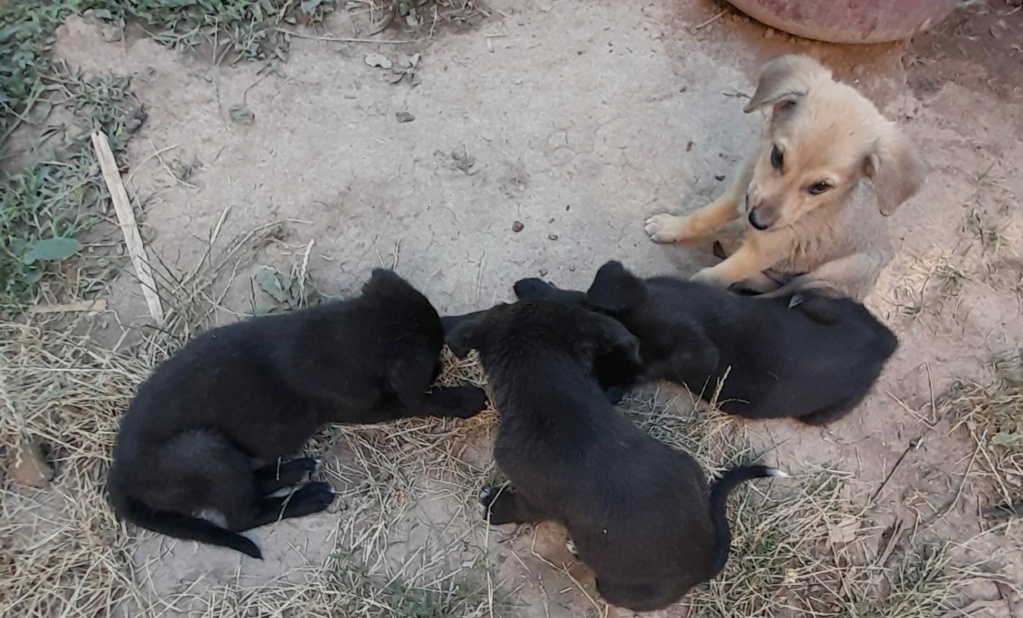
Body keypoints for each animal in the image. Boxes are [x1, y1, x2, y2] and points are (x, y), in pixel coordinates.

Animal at [107, 270, 486, 560]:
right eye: (433, 363)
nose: (440, 368)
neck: (348, 333)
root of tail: (119, 479)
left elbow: (446, 322)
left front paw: (475, 320)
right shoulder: (372, 406)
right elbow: (421, 401)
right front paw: (463, 398)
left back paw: (293, 470)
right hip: (202, 450)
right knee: (242, 516)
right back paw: (307, 497)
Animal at [446, 300, 781, 609]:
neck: (551, 389)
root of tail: (708, 559)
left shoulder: (533, 496)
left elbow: (518, 507)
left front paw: (493, 506)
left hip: (616, 588)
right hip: (691, 468)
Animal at [515, 260, 900, 425]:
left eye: (638, 381)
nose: (608, 398)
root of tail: (883, 345)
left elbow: (575, 297)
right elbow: (577, 300)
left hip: (822, 412)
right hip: (819, 299)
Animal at [646, 54, 928, 300]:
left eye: (821, 186)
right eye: (777, 156)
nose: (757, 222)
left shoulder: (764, 250)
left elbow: (713, 277)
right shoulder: (741, 193)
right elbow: (702, 217)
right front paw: (670, 226)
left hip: (835, 271)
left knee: (782, 290)